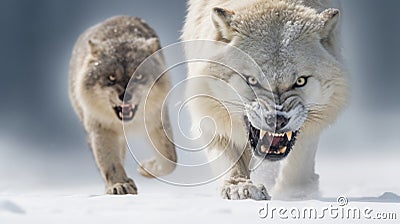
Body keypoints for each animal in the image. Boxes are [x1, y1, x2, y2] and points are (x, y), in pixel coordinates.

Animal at [183, 0, 348, 200]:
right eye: (253, 80)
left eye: (300, 81)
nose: (277, 120)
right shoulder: (210, 114)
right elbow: (231, 161)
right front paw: (240, 188)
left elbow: (299, 162)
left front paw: (295, 193)